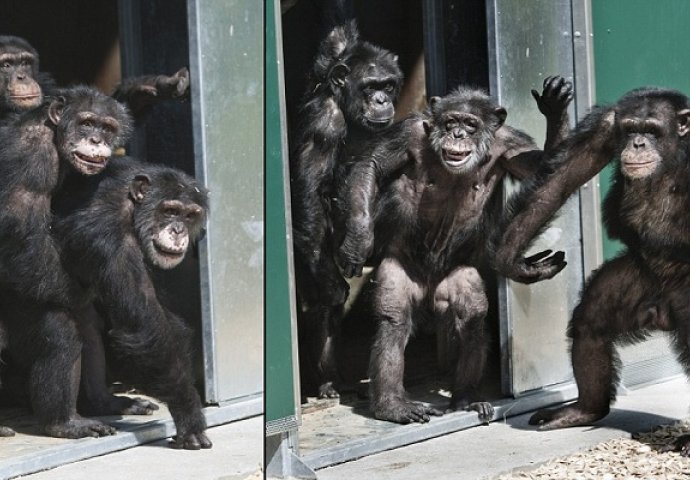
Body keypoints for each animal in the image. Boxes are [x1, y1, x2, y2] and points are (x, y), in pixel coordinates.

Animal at [0, 84, 132, 436]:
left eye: (107, 128)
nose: (96, 140)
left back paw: (103, 404)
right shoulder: (32, 157)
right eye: (87, 123)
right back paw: (64, 423)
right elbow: (21, 235)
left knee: (84, 328)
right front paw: (82, 294)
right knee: (61, 333)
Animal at [52, 158, 210, 450]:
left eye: (189, 215)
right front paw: (189, 415)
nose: (178, 230)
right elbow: (145, 327)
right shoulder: (110, 236)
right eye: (170, 211)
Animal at [290, 20, 404, 400]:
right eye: (371, 87)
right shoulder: (324, 123)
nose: (382, 100)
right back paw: (327, 380)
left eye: (388, 85)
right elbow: (310, 191)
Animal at [336, 76, 572, 424]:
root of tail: (428, 293)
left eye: (470, 124)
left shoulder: (511, 144)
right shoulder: (408, 132)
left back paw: (465, 398)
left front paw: (555, 109)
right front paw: (357, 240)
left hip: (458, 277)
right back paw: (391, 405)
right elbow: (373, 165)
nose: (458, 134)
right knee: (394, 320)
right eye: (450, 122)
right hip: (399, 271)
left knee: (471, 315)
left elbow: (549, 168)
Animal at [492, 87, 690, 454]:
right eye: (631, 128)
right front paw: (512, 260)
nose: (637, 143)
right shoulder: (604, 128)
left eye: (652, 130)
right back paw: (585, 409)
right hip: (639, 282)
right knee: (591, 319)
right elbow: (561, 178)